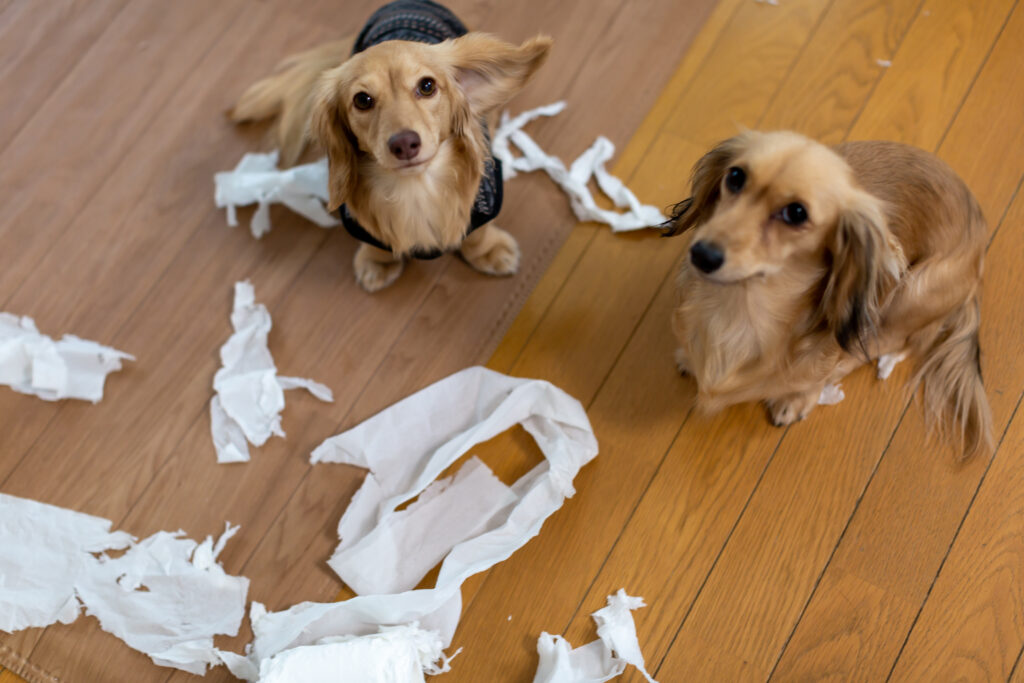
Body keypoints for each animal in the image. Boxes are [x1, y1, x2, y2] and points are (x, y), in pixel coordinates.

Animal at [227, 0, 548, 290]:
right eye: (362, 100)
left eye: (427, 86)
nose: (404, 144)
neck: (416, 189)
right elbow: (377, 239)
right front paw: (377, 262)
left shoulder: (485, 200)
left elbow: (476, 232)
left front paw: (489, 250)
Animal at [663, 129, 991, 458]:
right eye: (735, 176)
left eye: (796, 213)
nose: (702, 254)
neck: (740, 309)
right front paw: (687, 357)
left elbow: (819, 373)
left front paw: (796, 398)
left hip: (912, 291)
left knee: (893, 343)